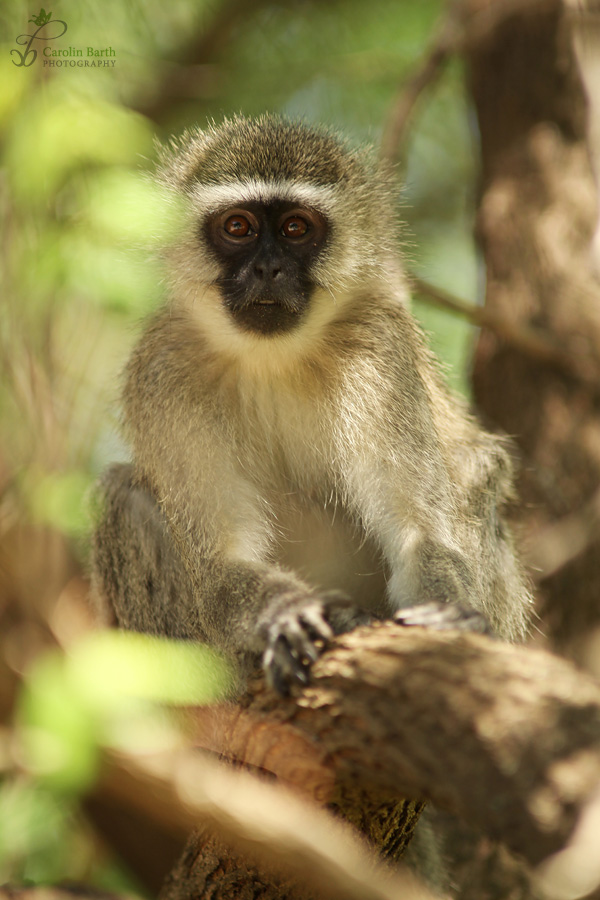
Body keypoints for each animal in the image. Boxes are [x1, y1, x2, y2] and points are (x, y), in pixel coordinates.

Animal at [91, 116, 532, 692]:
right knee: (124, 496)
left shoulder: (377, 348)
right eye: (239, 227)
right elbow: (220, 564)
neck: (272, 356)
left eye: (297, 228)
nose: (268, 270)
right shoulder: (162, 369)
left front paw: (453, 613)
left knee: (475, 465)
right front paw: (284, 613)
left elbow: (419, 530)